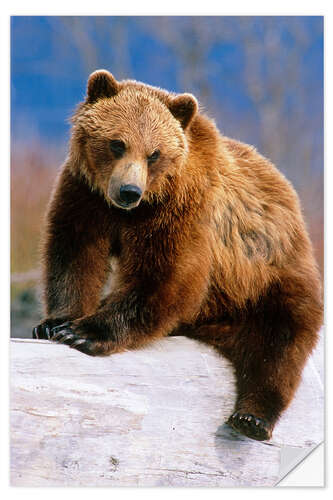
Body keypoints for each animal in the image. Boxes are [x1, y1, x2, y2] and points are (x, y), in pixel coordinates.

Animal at [33, 69, 322, 442]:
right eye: (117, 143)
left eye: (154, 153)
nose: (129, 191)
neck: (132, 212)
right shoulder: (86, 195)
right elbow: (74, 254)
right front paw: (56, 322)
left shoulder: (181, 209)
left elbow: (167, 277)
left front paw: (84, 332)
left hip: (268, 275)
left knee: (279, 344)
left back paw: (252, 417)